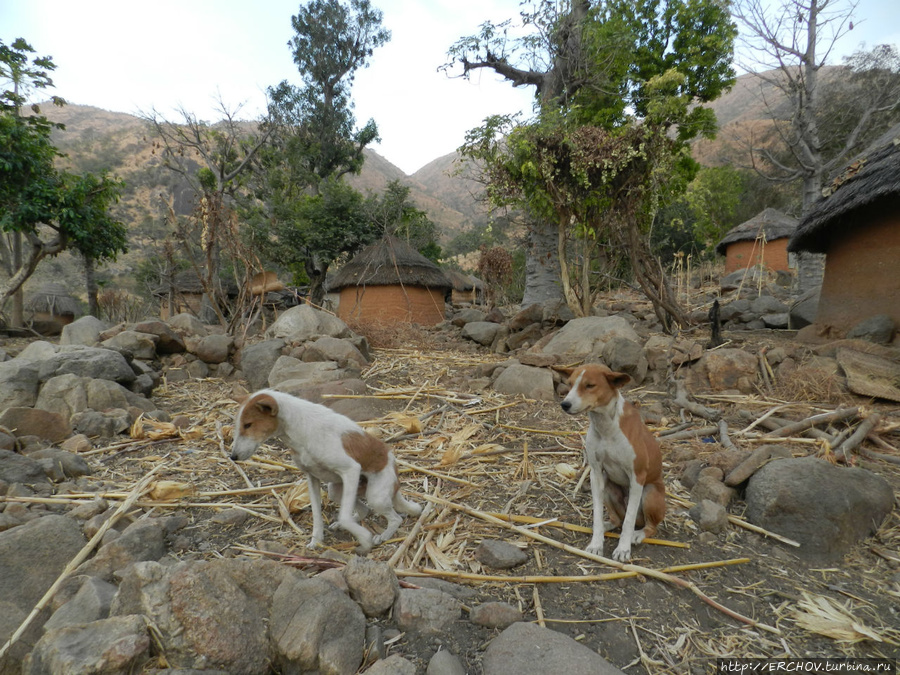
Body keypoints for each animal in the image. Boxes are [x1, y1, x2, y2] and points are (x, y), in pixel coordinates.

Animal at [229, 390, 418, 556]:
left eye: (248, 425)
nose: (232, 457)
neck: (299, 428)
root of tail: (395, 472)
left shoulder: (351, 470)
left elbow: (344, 516)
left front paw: (365, 540)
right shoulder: (312, 477)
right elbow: (317, 516)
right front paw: (317, 541)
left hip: (375, 496)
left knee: (395, 518)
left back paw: (384, 535)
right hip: (336, 490)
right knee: (364, 510)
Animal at [560, 364, 664, 560]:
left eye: (590, 385)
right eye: (569, 384)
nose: (565, 404)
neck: (606, 427)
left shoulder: (637, 477)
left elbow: (629, 520)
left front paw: (623, 549)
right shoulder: (596, 473)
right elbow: (597, 515)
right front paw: (596, 543)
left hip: (650, 492)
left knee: (648, 526)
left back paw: (638, 534)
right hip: (609, 487)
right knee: (618, 519)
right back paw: (608, 525)